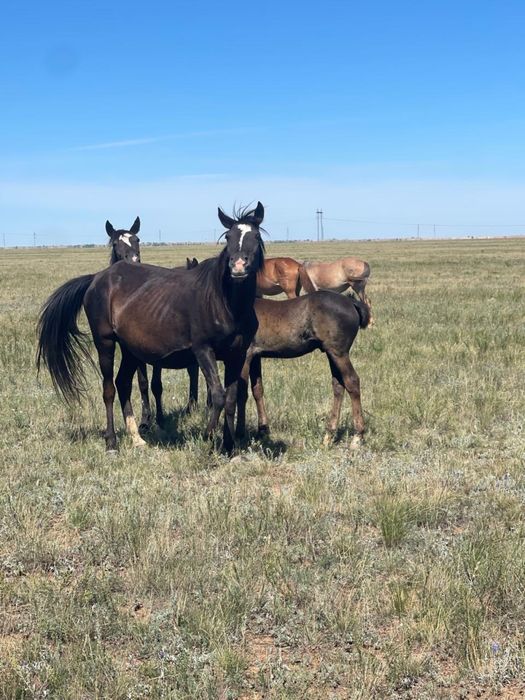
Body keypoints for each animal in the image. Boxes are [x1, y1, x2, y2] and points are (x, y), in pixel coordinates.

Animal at [37, 203, 266, 453]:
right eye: (228, 237)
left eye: (256, 236)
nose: (238, 266)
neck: (224, 302)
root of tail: (97, 278)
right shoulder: (203, 350)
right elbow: (218, 395)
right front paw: (207, 436)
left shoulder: (237, 354)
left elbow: (231, 399)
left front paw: (228, 446)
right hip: (105, 342)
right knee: (109, 389)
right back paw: (111, 442)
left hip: (130, 349)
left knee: (123, 383)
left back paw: (137, 438)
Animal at [235, 292, 369, 449]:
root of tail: (351, 302)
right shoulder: (255, 356)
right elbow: (257, 390)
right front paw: (263, 432)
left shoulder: (246, 355)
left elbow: (240, 393)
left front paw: (239, 437)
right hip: (332, 353)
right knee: (338, 385)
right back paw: (328, 436)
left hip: (339, 353)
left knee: (352, 381)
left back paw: (357, 437)